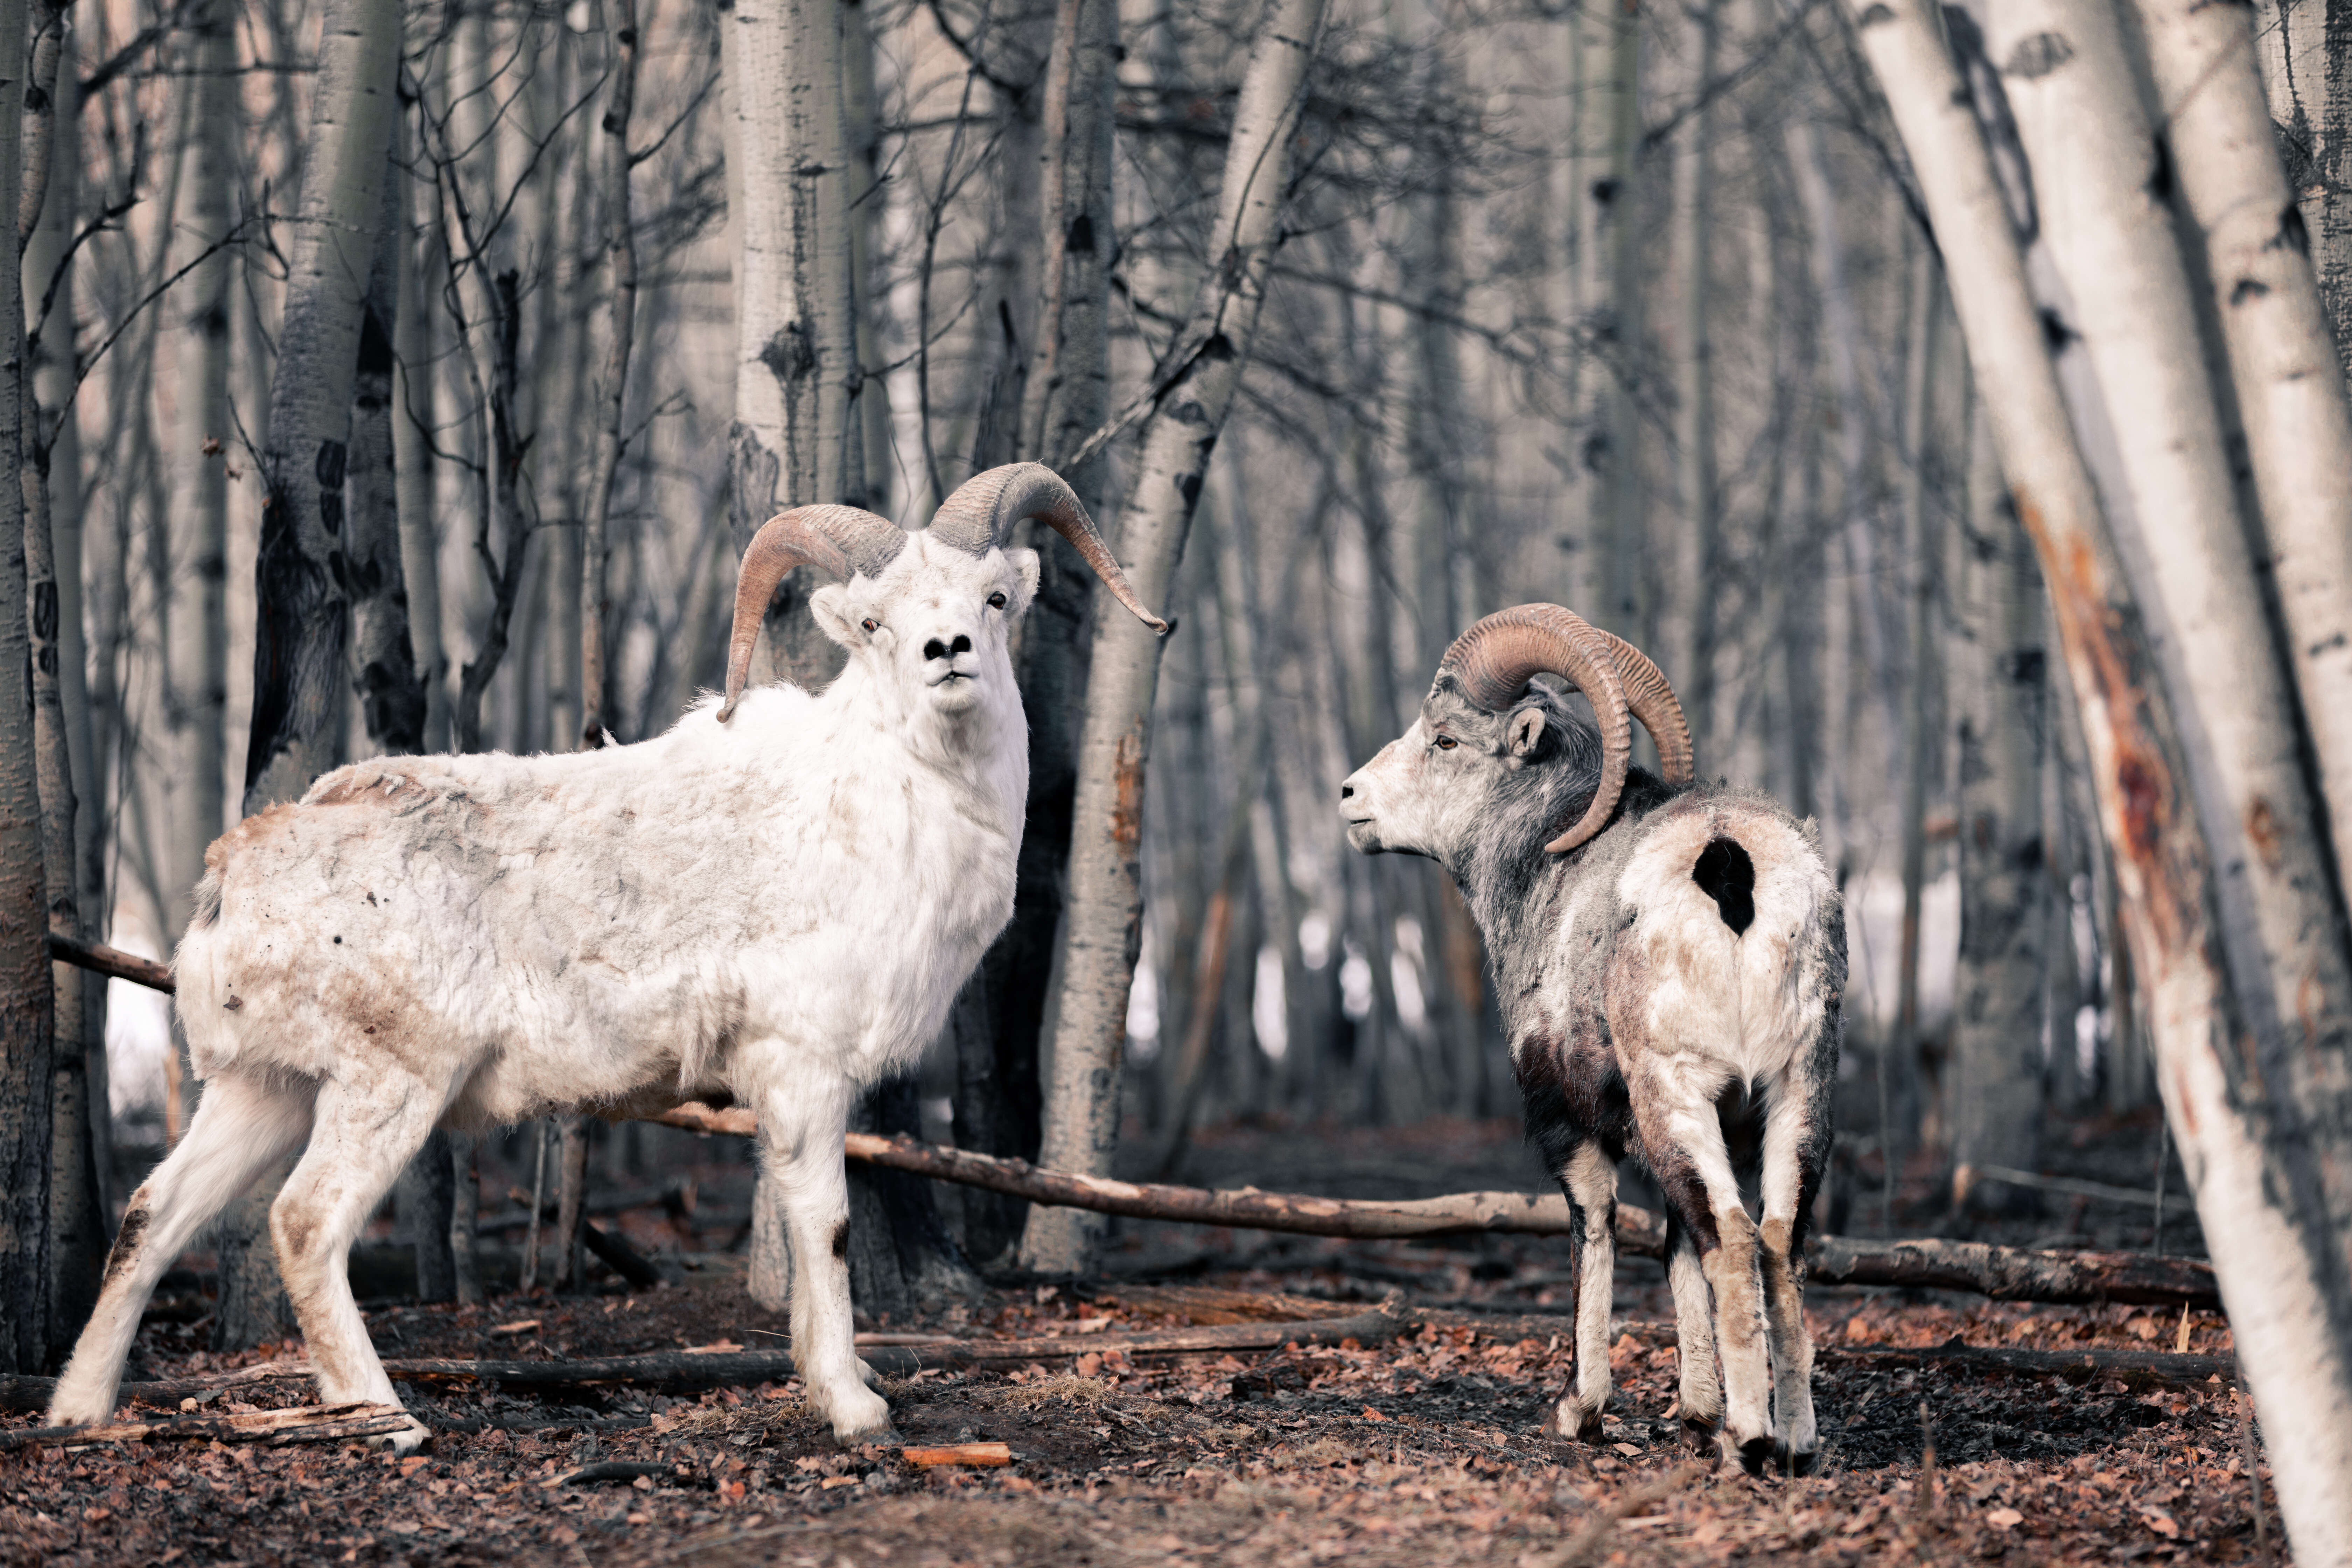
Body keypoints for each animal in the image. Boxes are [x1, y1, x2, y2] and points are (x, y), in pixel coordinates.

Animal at [46, 463, 1167, 1448]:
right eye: (877, 625)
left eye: (994, 600)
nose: (947, 651)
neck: (878, 809)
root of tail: (234, 878)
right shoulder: (804, 1072)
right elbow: (825, 1225)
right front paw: (856, 1412)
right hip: (386, 1087)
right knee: (306, 1222)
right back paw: (389, 1420)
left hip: (263, 1091)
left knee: (153, 1216)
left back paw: (78, 1411)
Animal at [1345, 606, 1834, 1476]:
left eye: (1445, 739)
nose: (1350, 797)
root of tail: (1727, 860)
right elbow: (1677, 1251)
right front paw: (1693, 1415)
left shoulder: (1569, 1123)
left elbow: (1595, 1231)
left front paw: (1581, 1410)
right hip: (1795, 1096)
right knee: (1776, 1239)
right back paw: (1796, 1444)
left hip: (1679, 1093)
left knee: (1735, 1239)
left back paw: (1749, 1442)